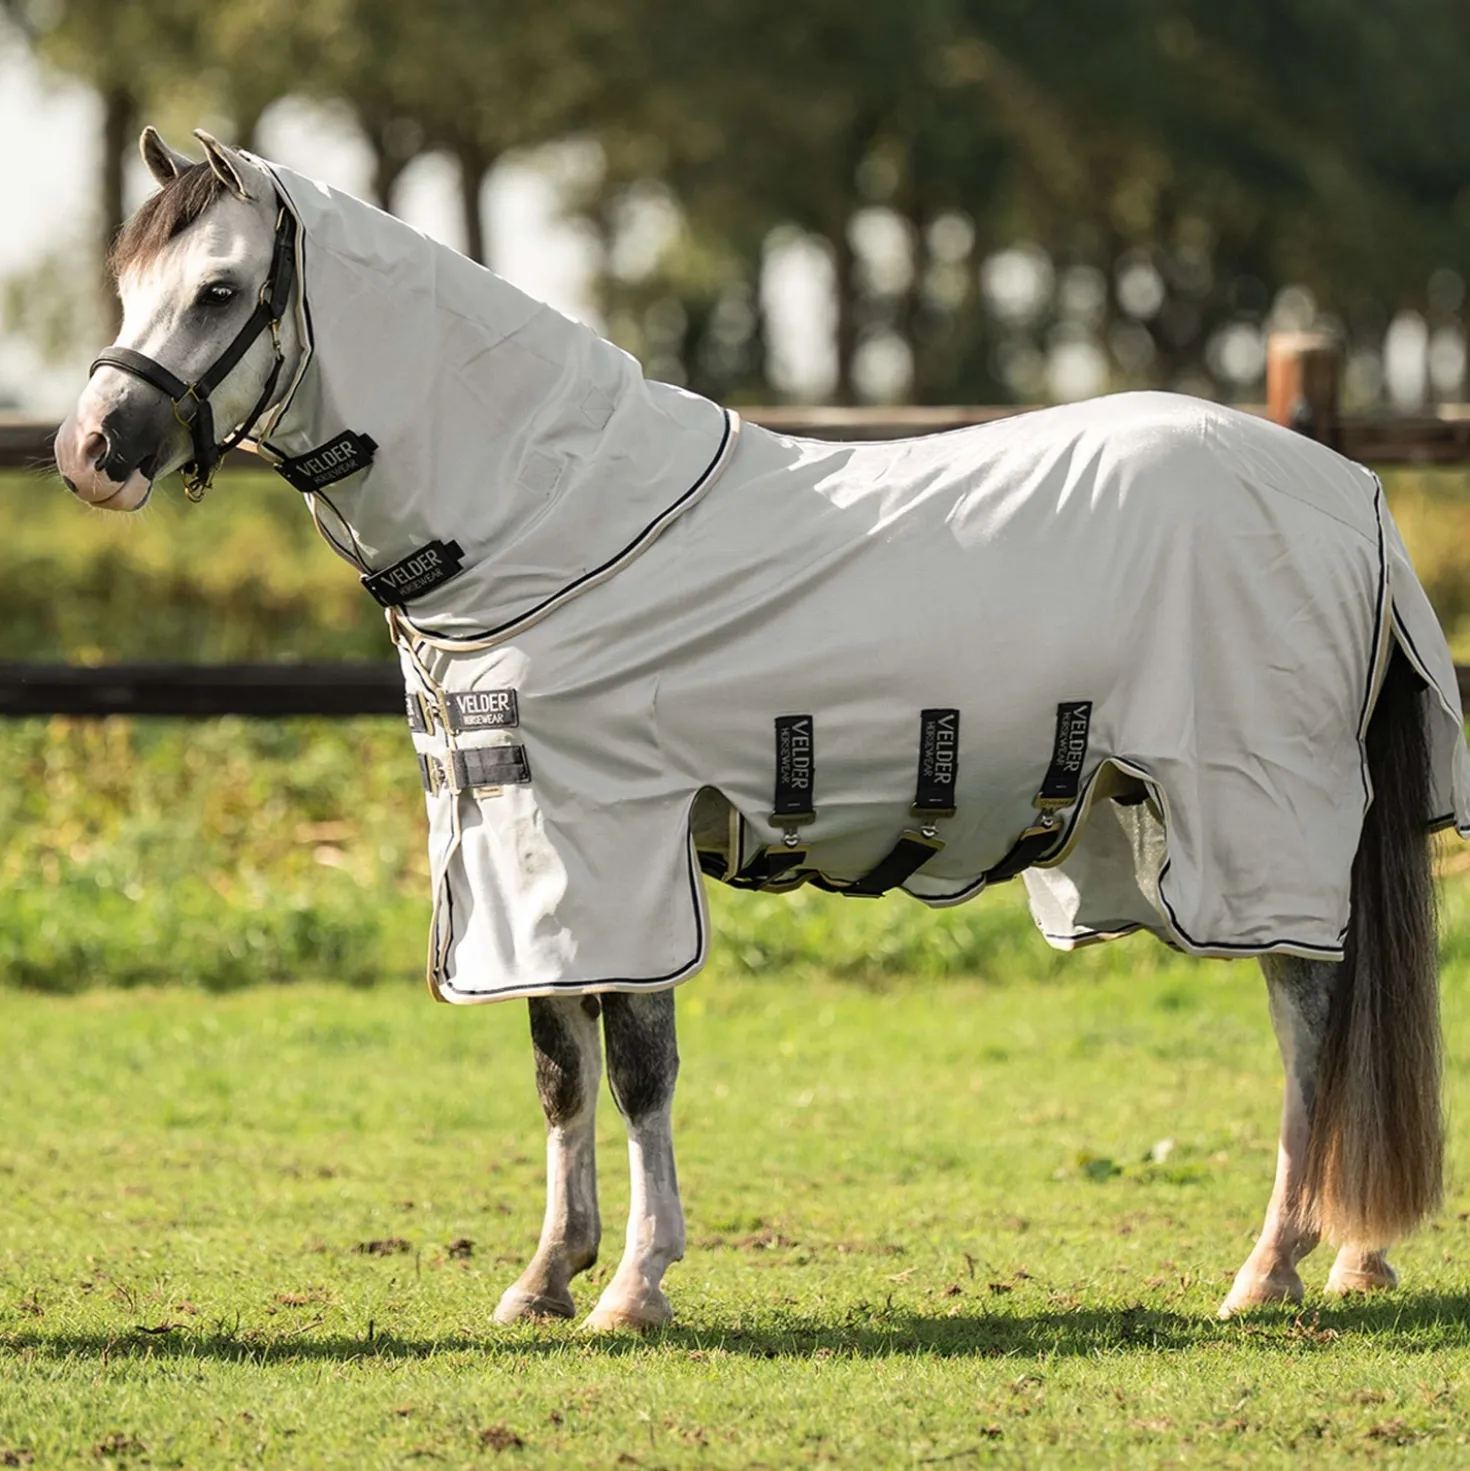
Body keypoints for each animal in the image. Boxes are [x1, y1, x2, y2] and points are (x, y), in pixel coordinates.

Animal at [56, 127, 1469, 1331]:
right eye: (129, 282)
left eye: (221, 289)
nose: (89, 453)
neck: (541, 513)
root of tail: (1351, 489)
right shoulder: (522, 843)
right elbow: (560, 1065)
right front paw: (544, 1278)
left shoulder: (616, 839)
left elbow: (638, 1065)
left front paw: (635, 1287)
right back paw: (1351, 1255)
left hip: (1258, 821)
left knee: (1311, 1017)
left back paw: (1271, 1268)